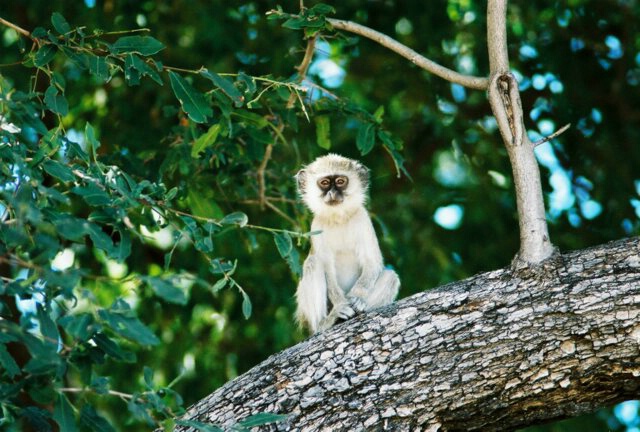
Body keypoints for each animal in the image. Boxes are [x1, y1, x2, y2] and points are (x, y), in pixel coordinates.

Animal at [296, 154, 400, 332]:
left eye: (340, 181)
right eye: (325, 183)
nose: (332, 193)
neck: (339, 219)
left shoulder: (363, 219)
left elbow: (372, 263)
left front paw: (357, 298)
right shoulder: (316, 226)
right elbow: (327, 268)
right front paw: (341, 305)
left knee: (391, 277)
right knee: (313, 262)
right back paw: (325, 323)